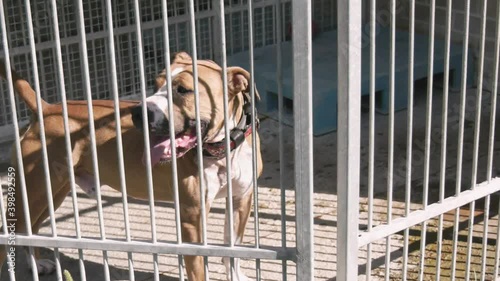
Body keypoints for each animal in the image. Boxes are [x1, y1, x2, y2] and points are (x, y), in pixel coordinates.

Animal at [0, 51, 264, 278]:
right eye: (155, 85)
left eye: (183, 90)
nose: (139, 111)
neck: (222, 151)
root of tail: (45, 109)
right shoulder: (192, 216)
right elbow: (199, 266)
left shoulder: (242, 200)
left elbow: (233, 249)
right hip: (35, 191)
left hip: (51, 193)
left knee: (29, 227)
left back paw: (37, 264)